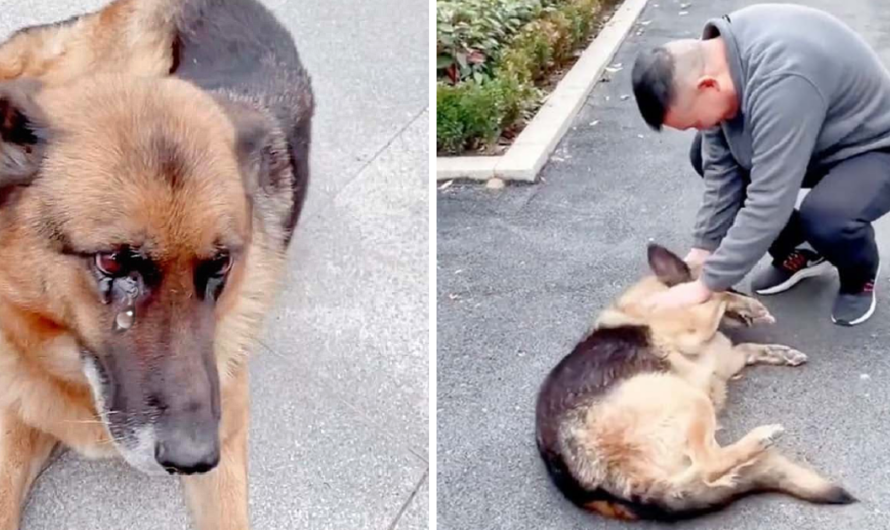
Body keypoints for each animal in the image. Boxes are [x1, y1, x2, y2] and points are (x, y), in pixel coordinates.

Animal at [536, 244, 852, 520]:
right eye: (733, 284)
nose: (744, 294)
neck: (658, 292)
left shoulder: (727, 357)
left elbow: (749, 347)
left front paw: (780, 352)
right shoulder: (696, 328)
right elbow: (716, 297)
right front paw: (747, 303)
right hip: (688, 398)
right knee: (708, 465)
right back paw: (760, 438)